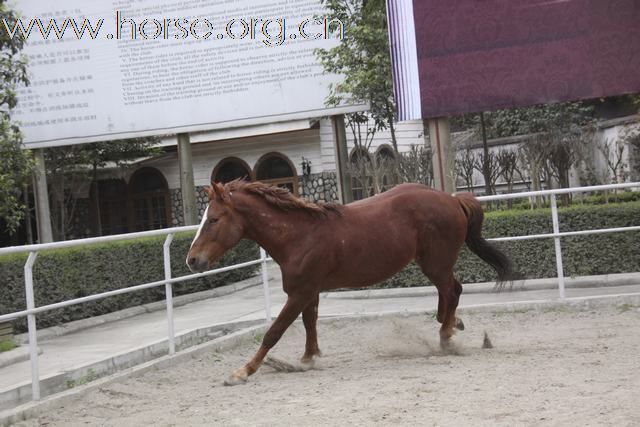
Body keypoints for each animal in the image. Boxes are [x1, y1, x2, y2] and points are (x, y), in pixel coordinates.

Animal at [186, 179, 516, 386]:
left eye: (213, 219)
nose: (192, 260)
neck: (298, 235)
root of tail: (453, 199)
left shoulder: (300, 292)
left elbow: (273, 332)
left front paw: (241, 372)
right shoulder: (310, 292)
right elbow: (310, 324)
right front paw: (307, 359)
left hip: (436, 264)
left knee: (453, 290)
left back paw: (447, 336)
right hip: (432, 264)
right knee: (447, 295)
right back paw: (453, 324)